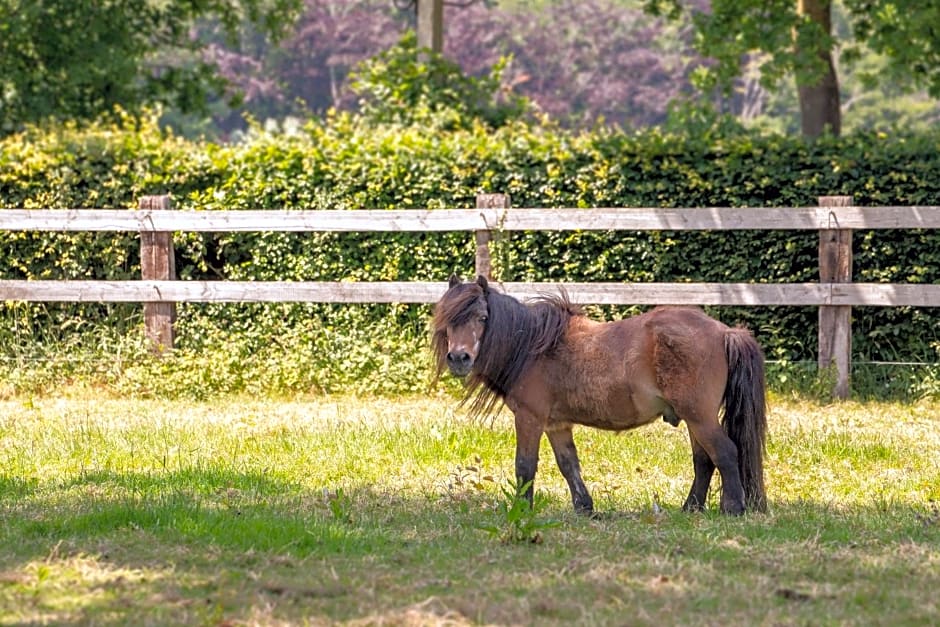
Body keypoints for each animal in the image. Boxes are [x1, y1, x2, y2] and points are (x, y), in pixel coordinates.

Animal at [430, 278, 768, 516]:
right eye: (448, 318)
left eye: (483, 317)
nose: (458, 358)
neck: (532, 347)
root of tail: (725, 332)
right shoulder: (556, 424)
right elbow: (568, 465)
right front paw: (585, 508)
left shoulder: (530, 418)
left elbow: (524, 466)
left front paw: (522, 509)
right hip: (694, 419)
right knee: (704, 460)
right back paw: (691, 508)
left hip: (699, 417)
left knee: (724, 452)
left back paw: (733, 508)